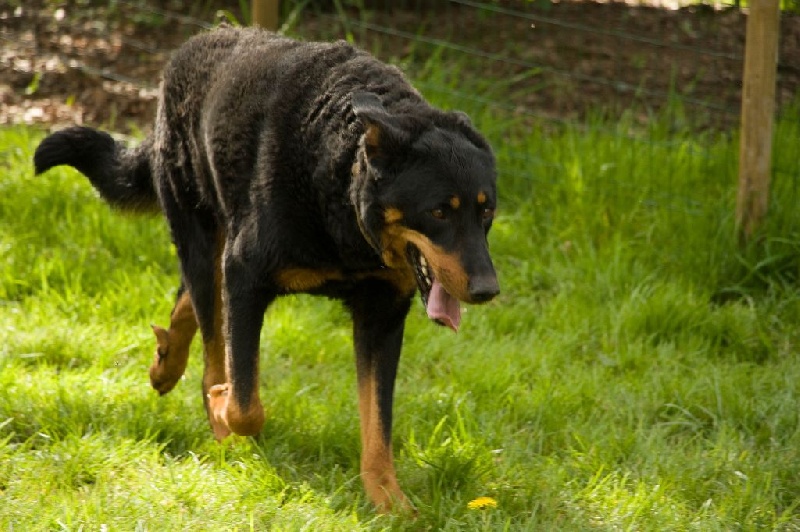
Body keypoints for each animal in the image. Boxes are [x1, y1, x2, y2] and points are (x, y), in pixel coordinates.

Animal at [37, 26, 500, 512]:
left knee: (192, 305)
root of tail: (198, 42)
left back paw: (167, 361)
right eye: (439, 212)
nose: (488, 289)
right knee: (211, 339)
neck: (334, 184)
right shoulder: (246, 276)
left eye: (487, 211)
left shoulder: (383, 312)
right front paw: (223, 409)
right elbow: (244, 402)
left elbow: (379, 421)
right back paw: (210, 408)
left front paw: (388, 500)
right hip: (200, 231)